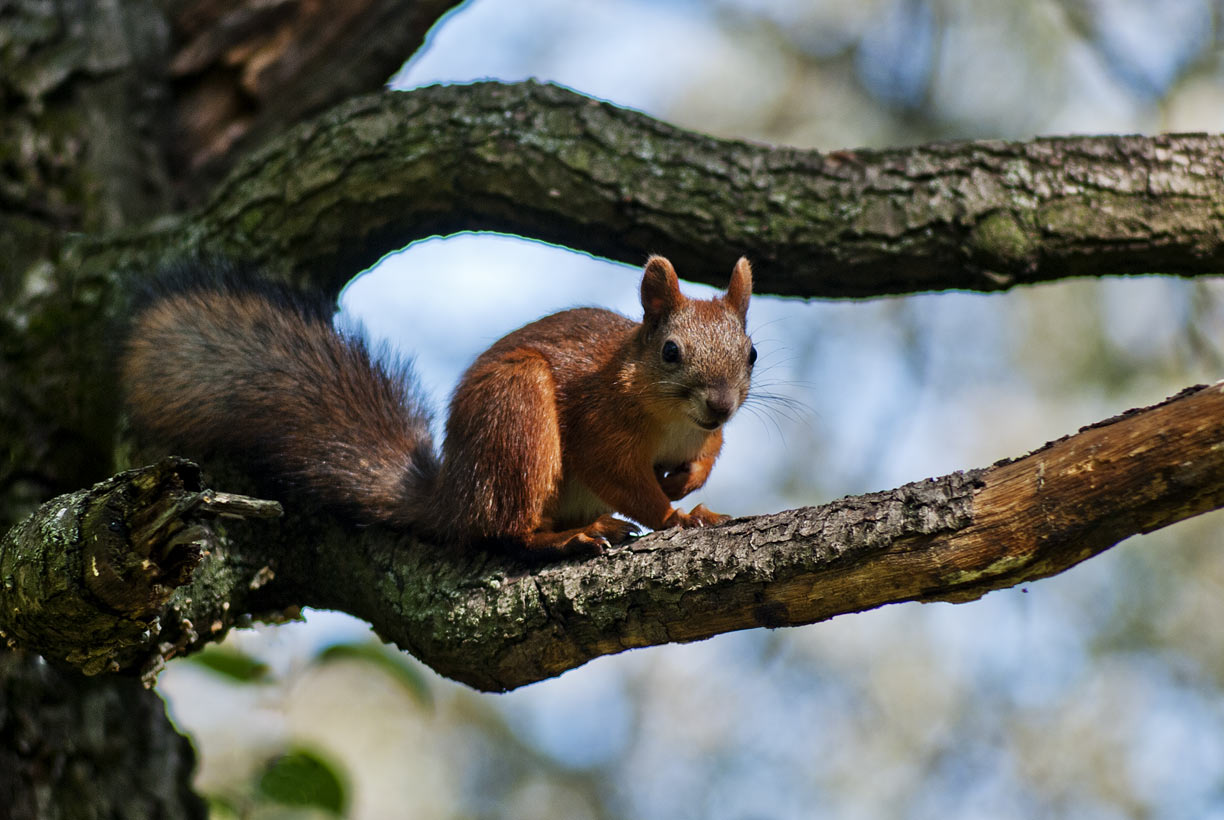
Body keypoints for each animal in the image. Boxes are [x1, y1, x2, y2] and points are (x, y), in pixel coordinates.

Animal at [124, 253, 753, 555]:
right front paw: (676, 516)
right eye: (670, 351)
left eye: (750, 352)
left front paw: (687, 482)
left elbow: (712, 451)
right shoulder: (599, 424)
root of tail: (453, 497)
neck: (675, 420)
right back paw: (560, 538)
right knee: (504, 531)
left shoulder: (710, 431)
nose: (721, 405)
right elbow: (620, 477)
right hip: (516, 416)